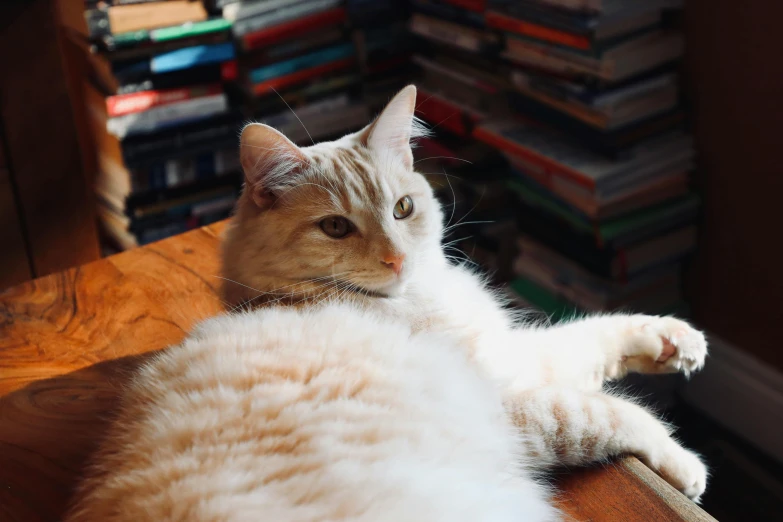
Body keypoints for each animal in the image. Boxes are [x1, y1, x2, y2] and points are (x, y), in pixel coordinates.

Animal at [67, 86, 712, 520]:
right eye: (334, 227)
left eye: (403, 209)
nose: (398, 259)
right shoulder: (508, 394)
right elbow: (610, 412)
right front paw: (685, 466)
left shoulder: (511, 352)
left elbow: (595, 336)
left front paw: (676, 341)